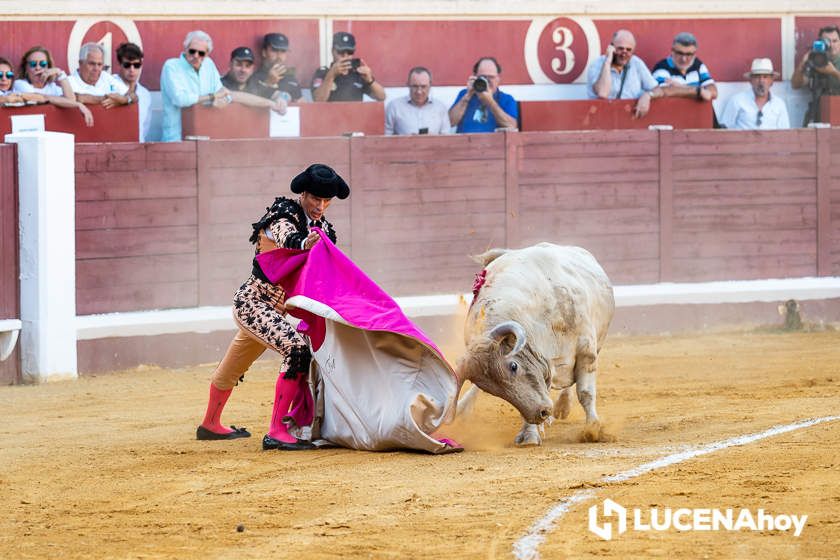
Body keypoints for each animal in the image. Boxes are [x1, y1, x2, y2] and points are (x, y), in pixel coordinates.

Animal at [456, 243, 612, 444]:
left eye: (513, 366)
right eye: (491, 389)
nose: (542, 413)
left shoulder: (587, 352)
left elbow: (585, 392)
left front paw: (593, 429)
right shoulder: (542, 363)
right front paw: (530, 434)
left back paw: (563, 407)